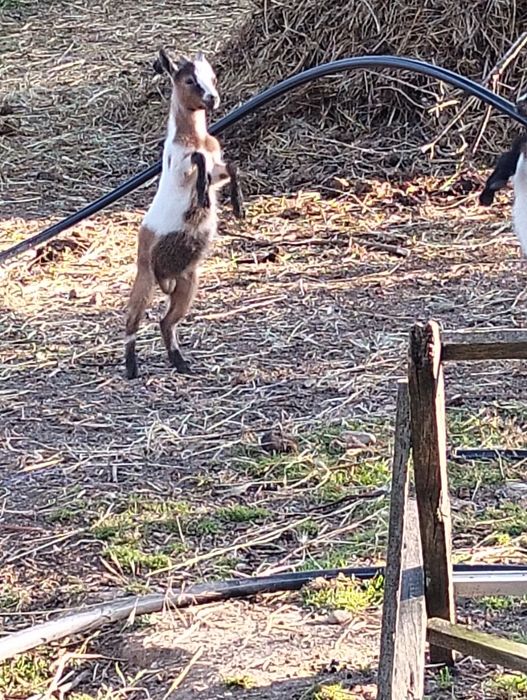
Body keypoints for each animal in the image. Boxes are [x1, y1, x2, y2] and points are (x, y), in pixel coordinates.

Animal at [124, 49, 244, 380]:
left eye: (213, 77)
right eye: (190, 80)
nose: (212, 99)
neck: (194, 137)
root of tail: (166, 278)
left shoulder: (219, 168)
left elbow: (232, 167)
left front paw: (237, 206)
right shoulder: (179, 166)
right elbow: (198, 160)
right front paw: (201, 195)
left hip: (188, 282)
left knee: (166, 322)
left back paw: (181, 363)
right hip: (145, 277)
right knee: (132, 321)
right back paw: (131, 369)